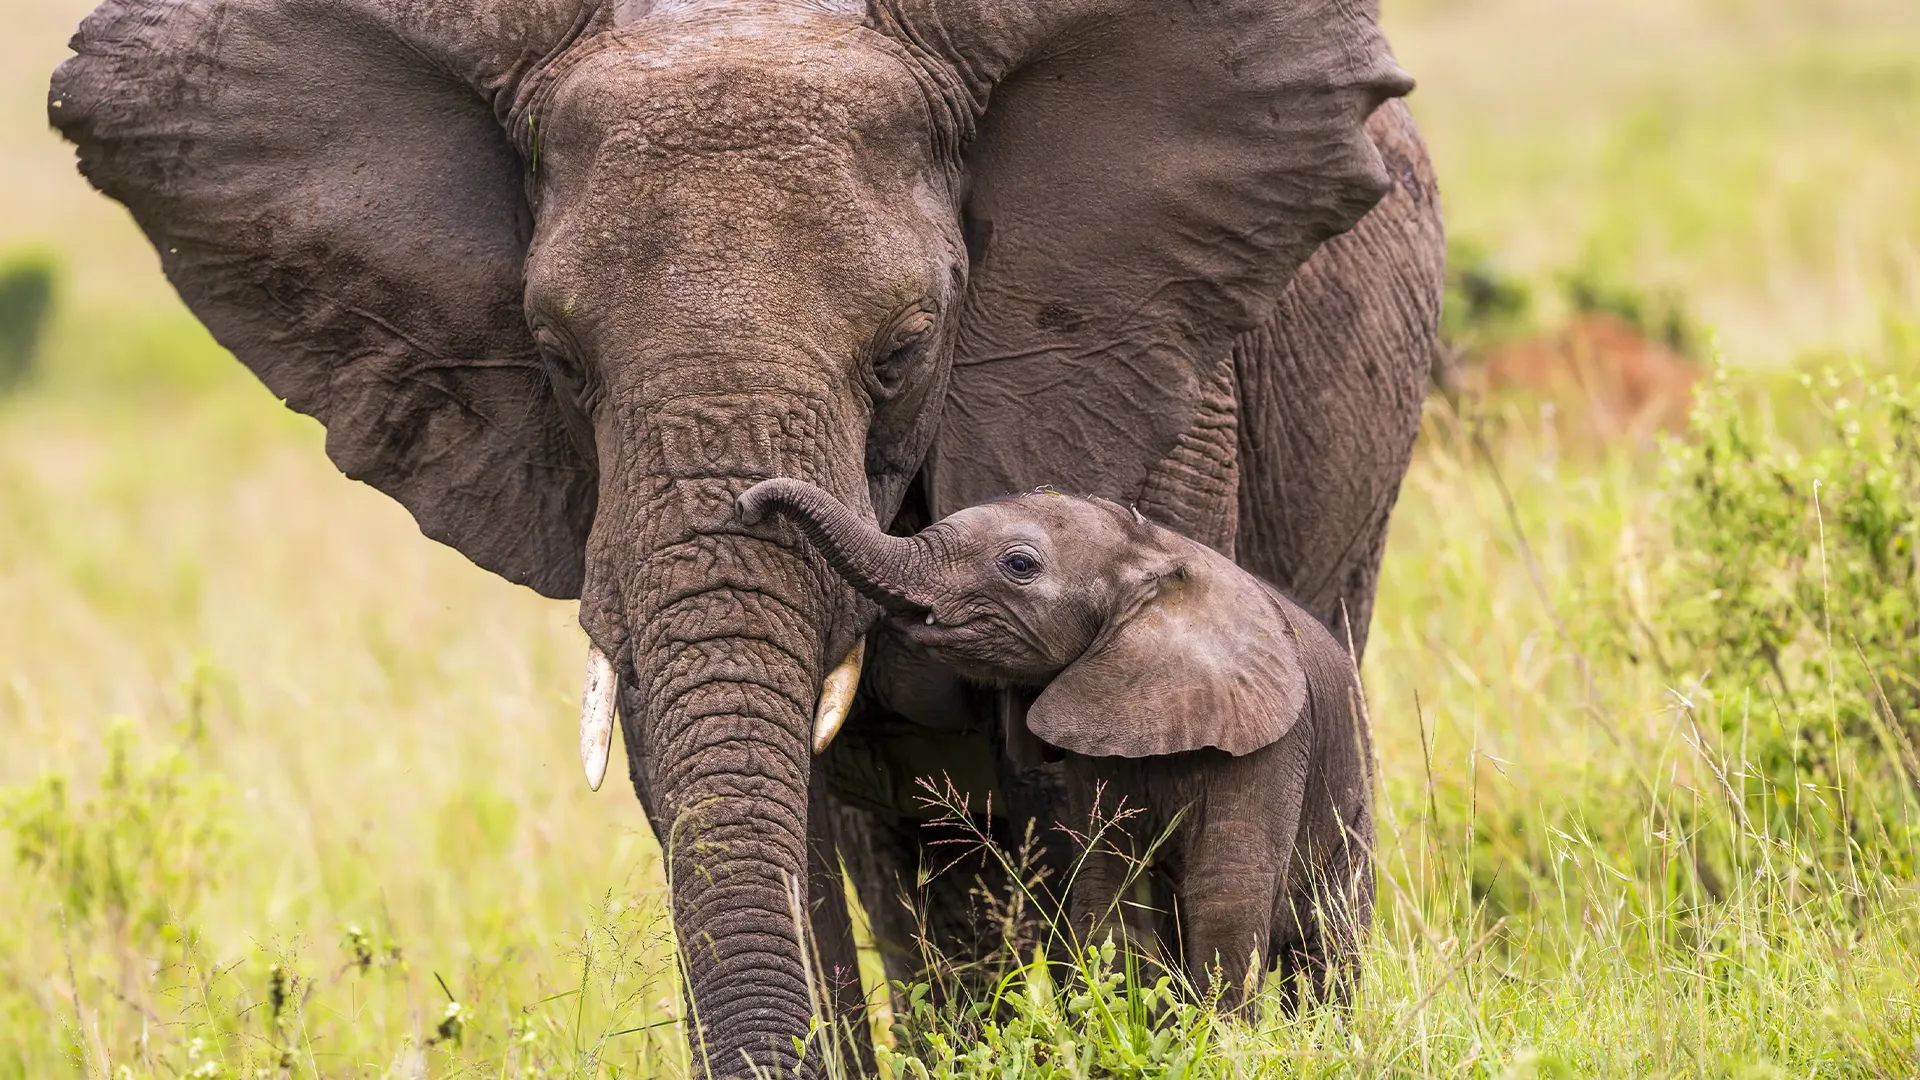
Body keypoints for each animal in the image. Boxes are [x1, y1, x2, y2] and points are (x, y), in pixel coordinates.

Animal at [736, 478, 1373, 1011]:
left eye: (1019, 565)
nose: (745, 506)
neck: (1155, 555)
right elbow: (1105, 881)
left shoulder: (1270, 745)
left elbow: (1227, 894)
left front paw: (1221, 1043)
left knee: (1330, 943)